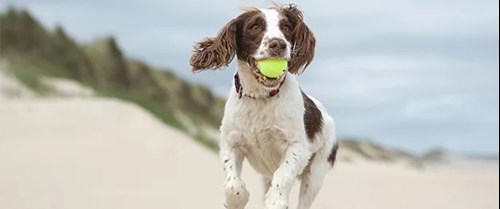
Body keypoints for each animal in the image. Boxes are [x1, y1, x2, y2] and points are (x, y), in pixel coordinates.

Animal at [189, 3, 338, 209]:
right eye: (254, 27)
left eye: (286, 27)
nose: (278, 44)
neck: (260, 97)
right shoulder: (229, 141)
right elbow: (233, 185)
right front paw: (236, 200)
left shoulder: (298, 146)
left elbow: (283, 174)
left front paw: (276, 200)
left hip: (316, 172)